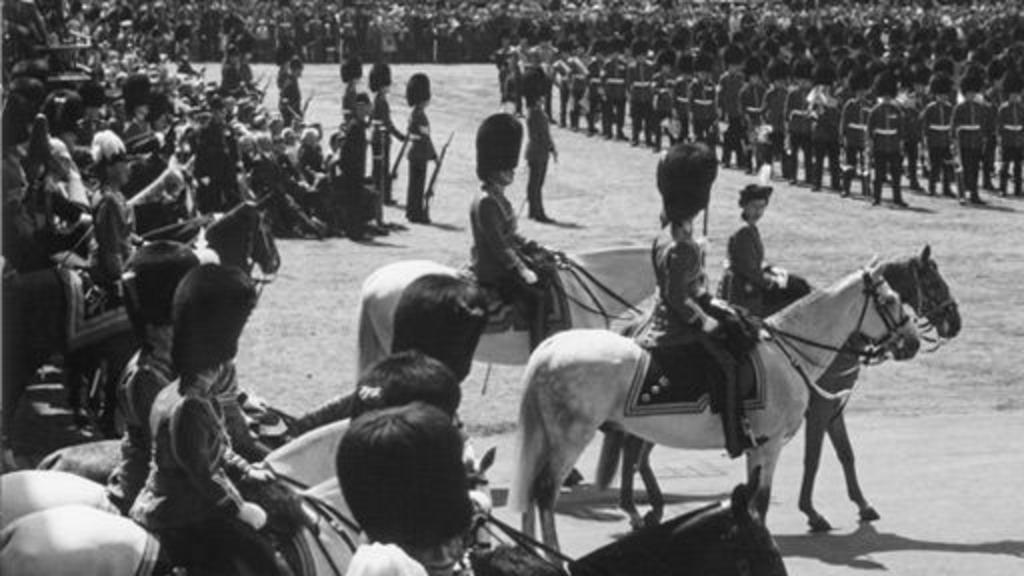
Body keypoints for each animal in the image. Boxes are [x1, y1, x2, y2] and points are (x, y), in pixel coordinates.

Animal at [509, 262, 921, 549]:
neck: (787, 352)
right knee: (545, 493)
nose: (913, 340)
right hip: (569, 438)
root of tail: (550, 349)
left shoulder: (759, 446)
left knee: (536, 489)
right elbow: (764, 500)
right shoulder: (771, 444)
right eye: (890, 300)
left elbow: (754, 500)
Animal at [598, 241, 958, 528]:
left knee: (635, 452)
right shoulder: (810, 415)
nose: (954, 322)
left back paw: (647, 508)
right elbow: (811, 460)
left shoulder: (823, 412)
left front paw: (860, 504)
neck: (795, 348)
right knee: (634, 453)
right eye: (932, 282)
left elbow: (844, 454)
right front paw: (812, 512)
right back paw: (641, 508)